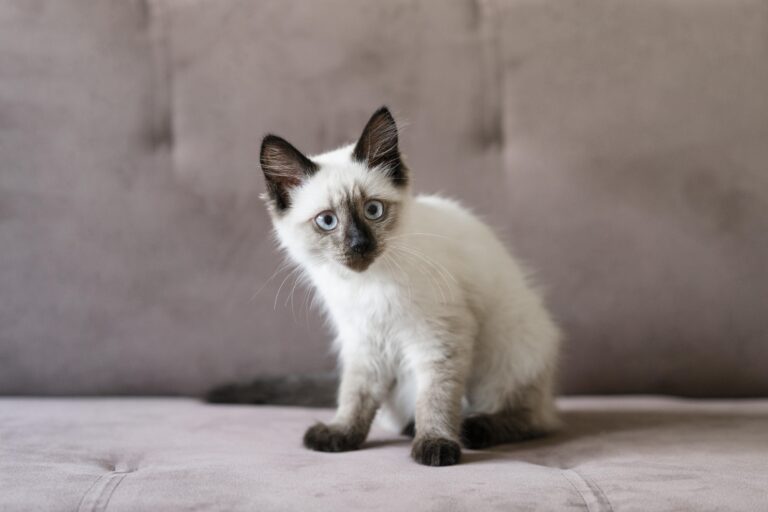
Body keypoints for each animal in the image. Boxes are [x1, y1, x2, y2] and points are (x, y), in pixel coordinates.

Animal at [258, 106, 560, 466]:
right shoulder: (364, 342)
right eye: (327, 221)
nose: (359, 245)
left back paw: (475, 429)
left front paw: (436, 445)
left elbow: (435, 397)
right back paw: (411, 427)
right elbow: (355, 395)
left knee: (534, 418)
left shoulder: (439, 337)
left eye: (373, 210)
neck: (367, 285)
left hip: (511, 351)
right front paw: (341, 434)